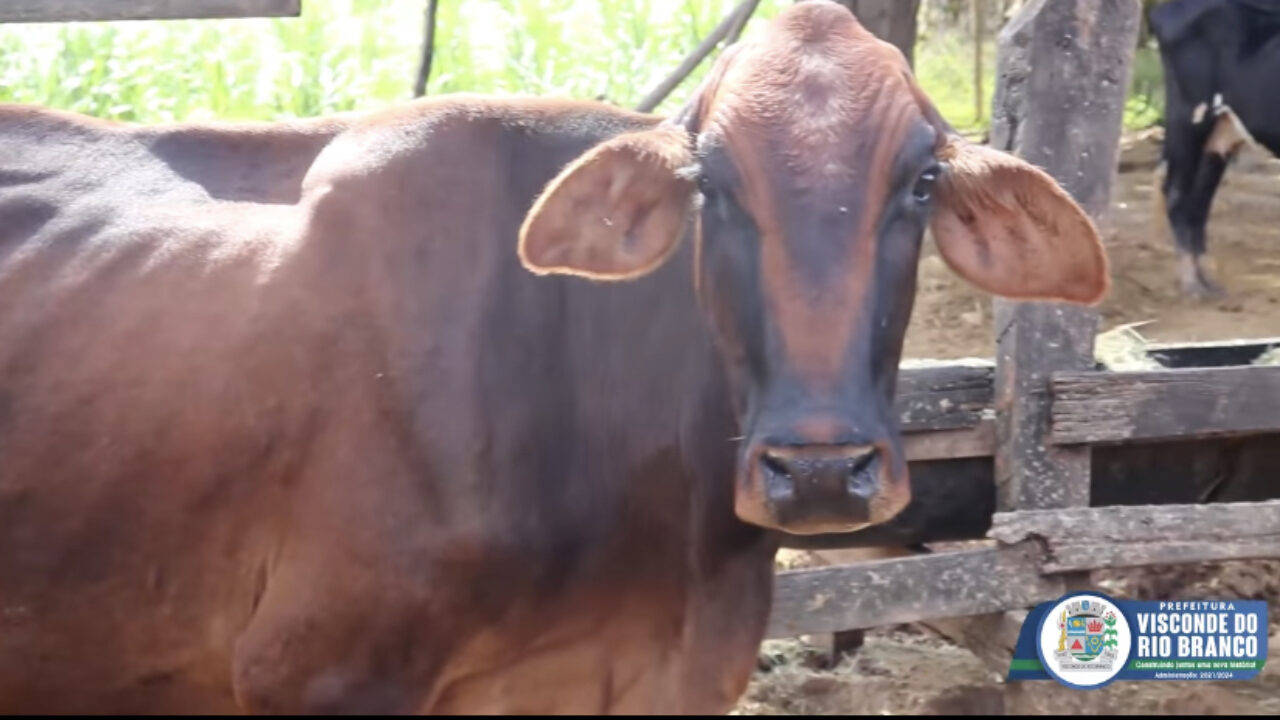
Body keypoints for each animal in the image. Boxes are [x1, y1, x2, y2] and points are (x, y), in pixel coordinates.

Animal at [1152, 0, 1280, 297]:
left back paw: (1205, 279)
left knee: (1199, 201)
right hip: (1189, 115)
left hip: (1218, 133)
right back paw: (1192, 284)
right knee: (1176, 191)